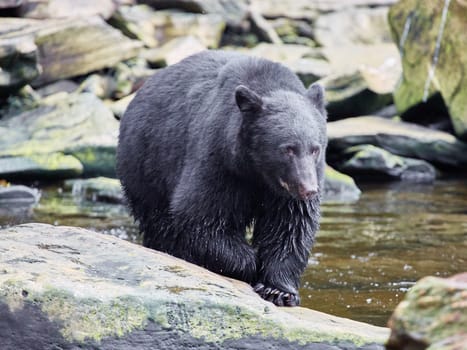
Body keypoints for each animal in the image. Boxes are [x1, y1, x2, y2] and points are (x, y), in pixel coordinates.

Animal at [118, 50, 326, 306]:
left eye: (315, 149)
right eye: (288, 149)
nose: (308, 189)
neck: (257, 171)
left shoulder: (285, 190)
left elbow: (291, 225)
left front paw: (280, 290)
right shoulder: (219, 159)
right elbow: (200, 215)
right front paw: (250, 263)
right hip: (146, 165)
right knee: (159, 221)